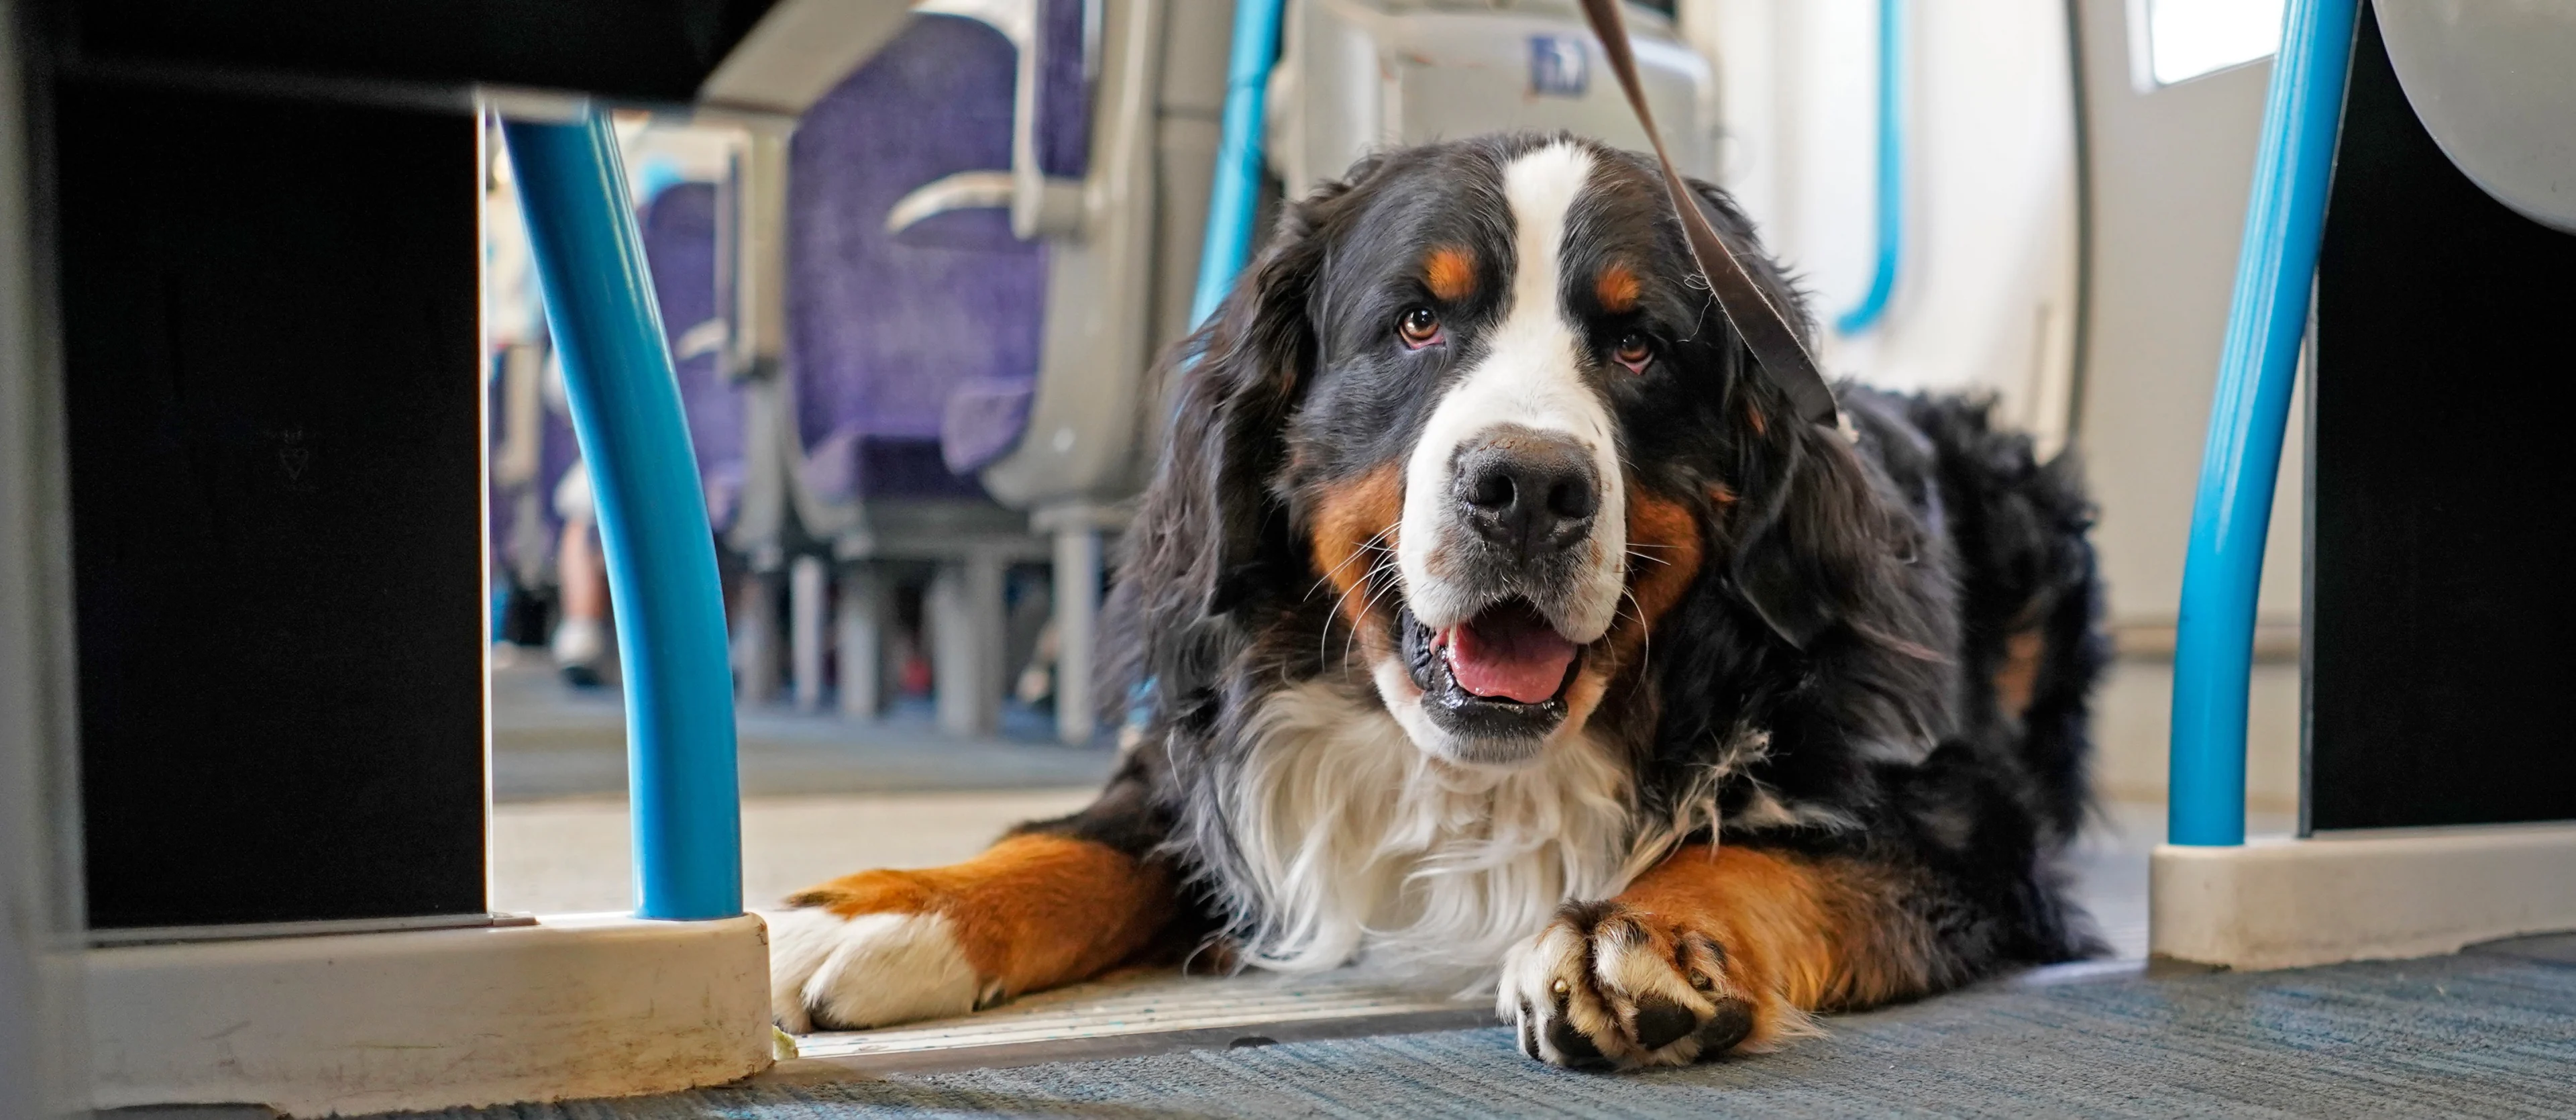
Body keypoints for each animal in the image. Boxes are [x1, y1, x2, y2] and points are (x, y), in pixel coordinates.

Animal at [757, 131, 2092, 1071]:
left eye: (1639, 344)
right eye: (1415, 321)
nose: (1526, 486)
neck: (1465, 775)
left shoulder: (1961, 816)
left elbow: (1771, 850)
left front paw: (1643, 933)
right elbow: (1084, 837)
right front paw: (892, 909)